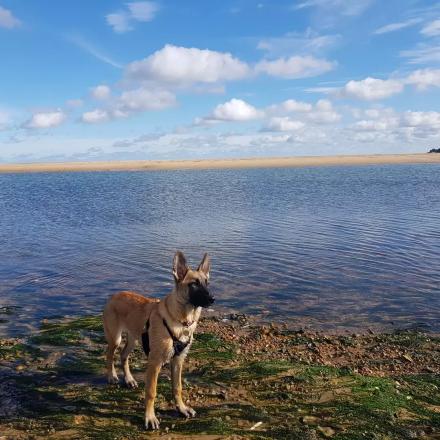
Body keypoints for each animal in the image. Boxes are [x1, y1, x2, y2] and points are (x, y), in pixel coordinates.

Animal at [103, 251, 213, 430]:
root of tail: (115, 295)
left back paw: (129, 379)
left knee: (123, 356)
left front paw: (181, 408)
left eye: (206, 283)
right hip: (115, 338)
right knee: (110, 355)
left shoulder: (178, 360)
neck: (182, 320)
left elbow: (177, 387)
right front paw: (150, 417)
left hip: (133, 339)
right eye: (194, 284)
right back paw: (112, 376)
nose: (212, 299)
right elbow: (151, 392)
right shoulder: (155, 362)